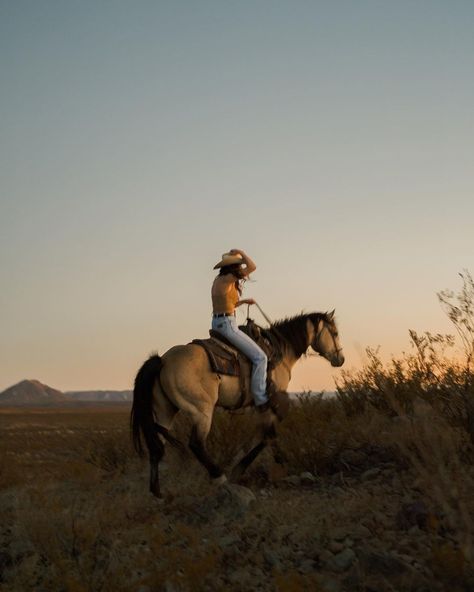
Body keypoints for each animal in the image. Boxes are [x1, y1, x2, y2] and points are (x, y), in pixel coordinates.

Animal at [130, 312, 344, 498]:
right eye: (334, 333)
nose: (340, 359)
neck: (280, 351)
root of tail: (162, 361)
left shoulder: (259, 407)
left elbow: (265, 437)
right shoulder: (268, 404)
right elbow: (268, 437)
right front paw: (258, 467)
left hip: (165, 411)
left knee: (157, 446)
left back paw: (157, 492)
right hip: (201, 411)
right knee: (196, 444)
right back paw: (220, 477)